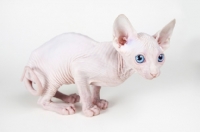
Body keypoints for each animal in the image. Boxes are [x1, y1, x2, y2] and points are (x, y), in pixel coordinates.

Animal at [21, 14, 176, 116]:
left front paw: (97, 101)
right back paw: (64, 108)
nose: (154, 73)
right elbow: (85, 93)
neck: (119, 65)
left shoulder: (97, 78)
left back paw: (69, 98)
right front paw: (89, 109)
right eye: (139, 58)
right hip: (51, 76)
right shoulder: (78, 69)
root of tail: (29, 60)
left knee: (49, 92)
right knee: (42, 100)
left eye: (160, 58)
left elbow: (96, 88)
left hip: (56, 78)